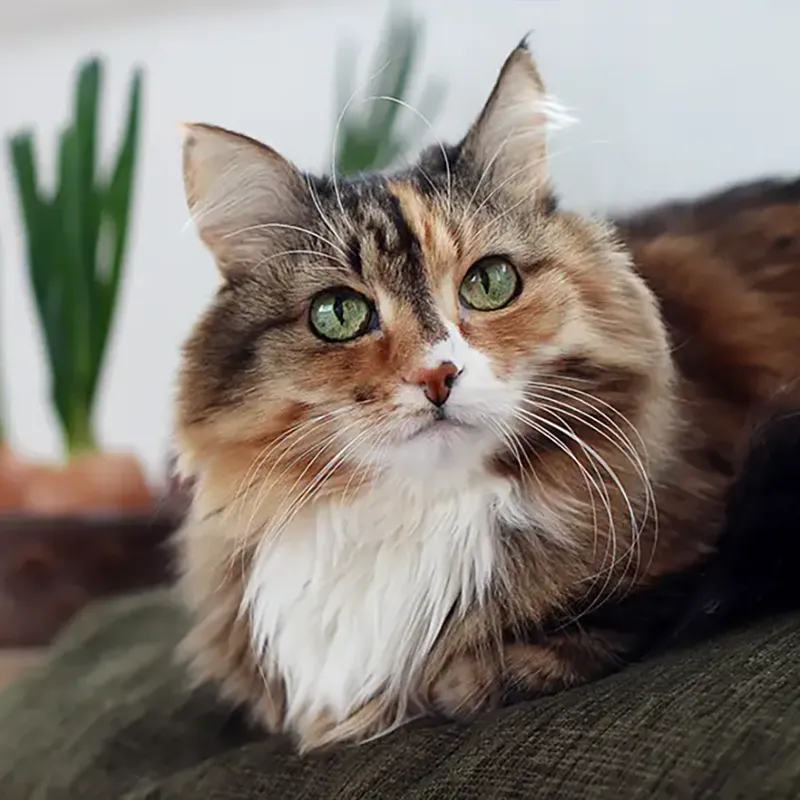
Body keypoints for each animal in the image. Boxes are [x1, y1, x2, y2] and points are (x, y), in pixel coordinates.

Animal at [172, 42, 800, 756]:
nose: (439, 375)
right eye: (339, 314)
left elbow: (595, 630)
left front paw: (468, 678)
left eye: (490, 282)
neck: (422, 513)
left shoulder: (703, 546)